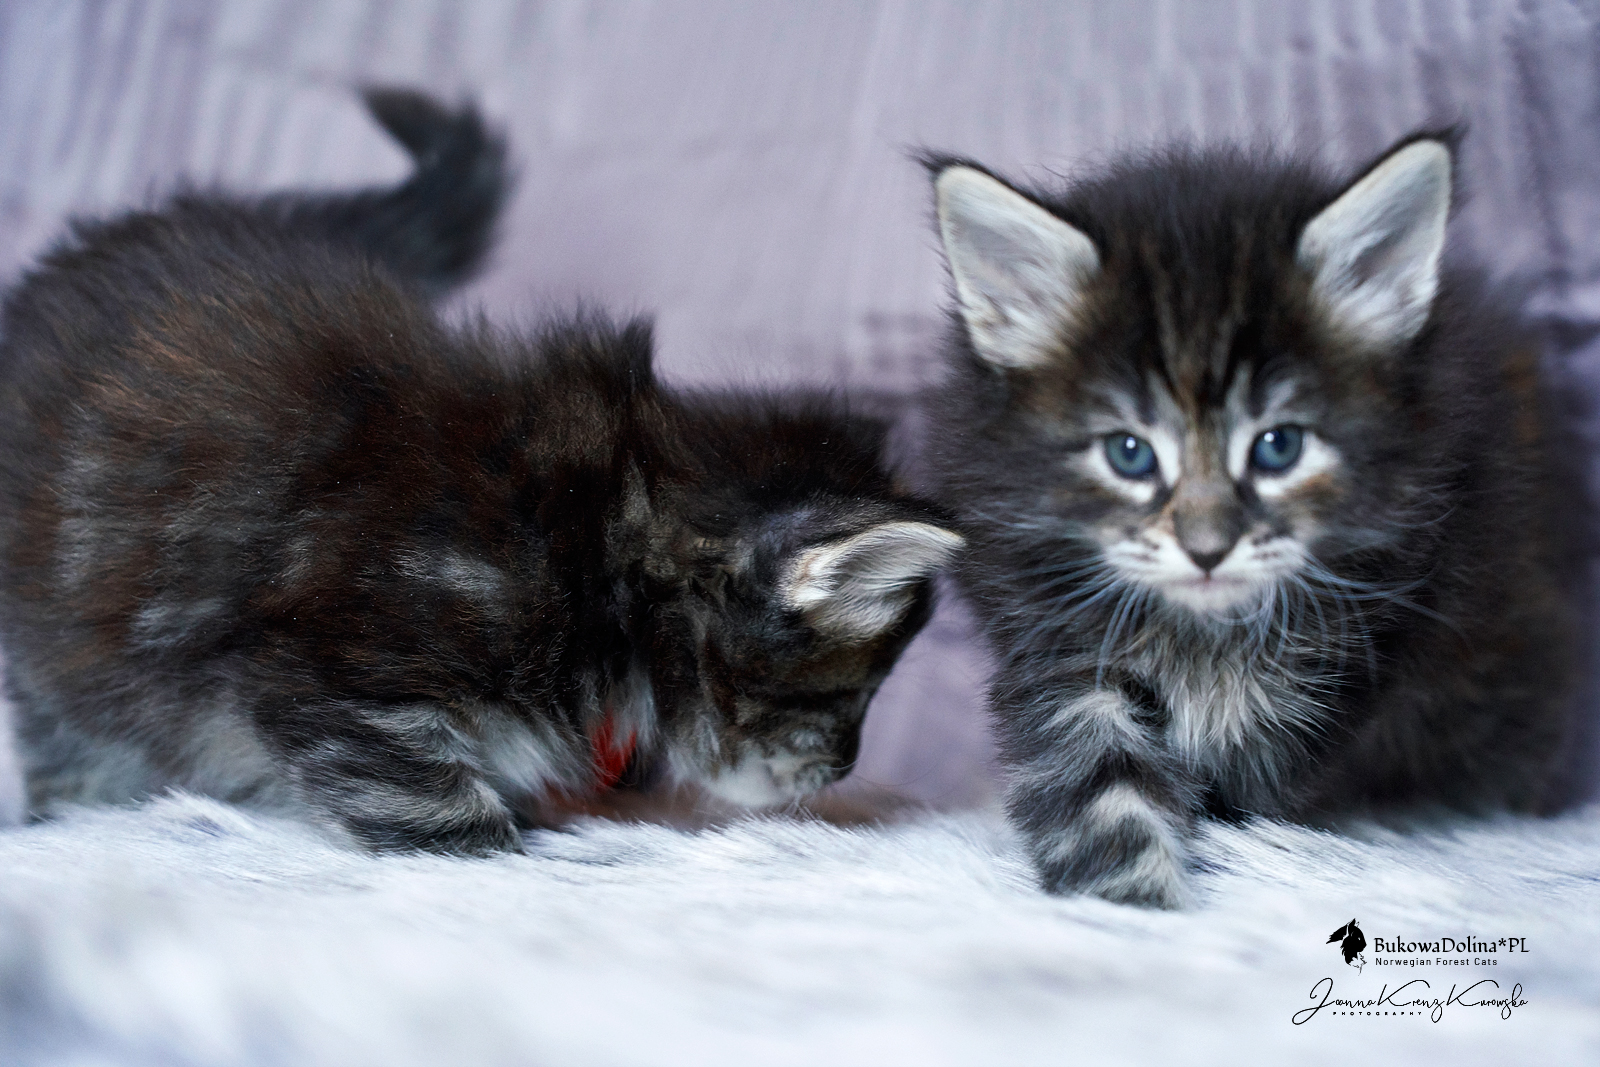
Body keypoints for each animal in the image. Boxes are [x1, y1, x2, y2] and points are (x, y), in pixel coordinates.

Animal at [0, 89, 964, 854]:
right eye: (845, 694)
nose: (845, 764)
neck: (601, 533)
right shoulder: (330, 668)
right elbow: (421, 796)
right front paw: (494, 846)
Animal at [922, 132, 1585, 908]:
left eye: (1278, 446)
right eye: (1128, 453)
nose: (1208, 549)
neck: (1208, 639)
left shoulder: (1348, 658)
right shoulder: (1055, 641)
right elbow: (1099, 784)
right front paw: (1130, 903)